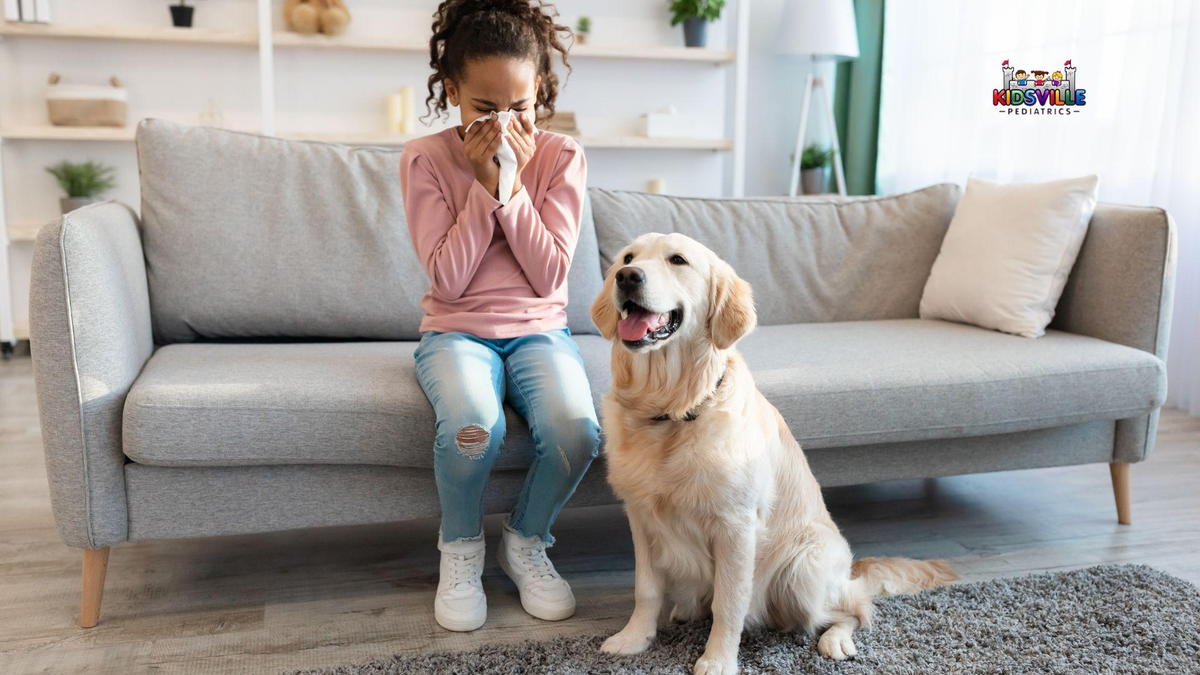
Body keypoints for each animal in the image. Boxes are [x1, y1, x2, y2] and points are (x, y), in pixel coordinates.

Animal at [590, 233, 955, 672]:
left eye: (677, 260)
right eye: (627, 258)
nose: (627, 277)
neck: (670, 411)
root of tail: (848, 570)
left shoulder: (736, 525)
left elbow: (729, 603)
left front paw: (718, 660)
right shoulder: (642, 517)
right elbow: (645, 589)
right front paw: (634, 638)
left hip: (802, 569)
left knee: (856, 607)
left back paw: (836, 639)